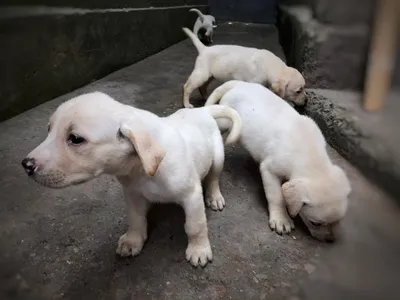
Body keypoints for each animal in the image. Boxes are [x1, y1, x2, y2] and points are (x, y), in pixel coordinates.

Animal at [21, 92, 241, 268]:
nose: (26, 164)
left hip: (217, 157)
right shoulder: (132, 193)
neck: (140, 170)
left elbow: (195, 225)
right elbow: (136, 219)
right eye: (49, 130)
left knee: (213, 178)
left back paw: (214, 197)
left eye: (75, 139)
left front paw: (199, 249)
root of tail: (202, 111)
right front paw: (133, 241)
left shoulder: (191, 195)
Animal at [205, 81, 352, 243]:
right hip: (226, 120)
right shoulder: (270, 170)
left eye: (339, 220)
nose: (330, 240)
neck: (311, 155)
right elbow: (277, 197)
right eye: (315, 223)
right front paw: (281, 219)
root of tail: (241, 83)